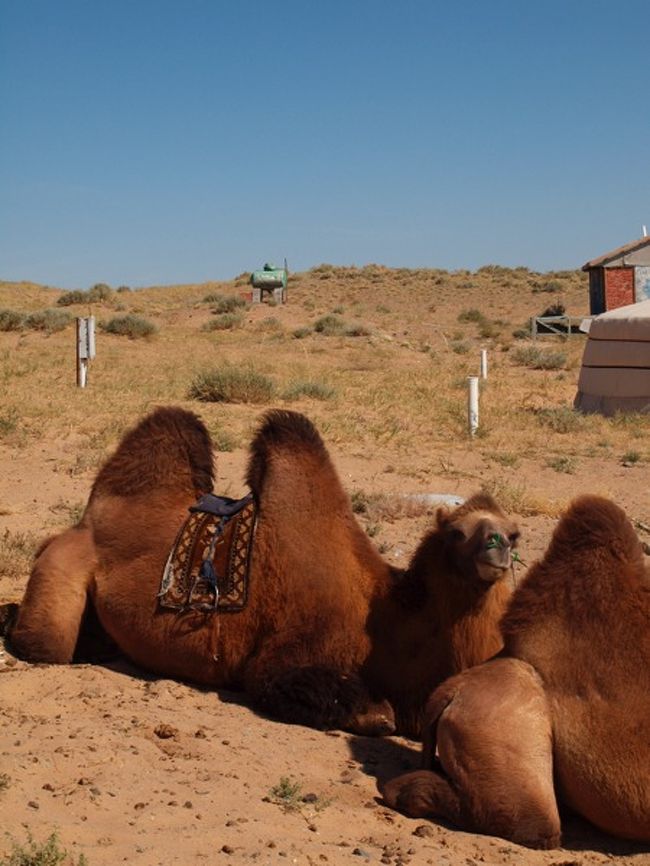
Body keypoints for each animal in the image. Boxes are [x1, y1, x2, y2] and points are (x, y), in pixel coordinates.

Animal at [7, 404, 520, 736]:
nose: (496, 548)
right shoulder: (285, 656)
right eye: (457, 532)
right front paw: (374, 712)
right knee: (43, 643)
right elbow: (366, 711)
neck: (385, 616)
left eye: (514, 534)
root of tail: (84, 521)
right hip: (61, 571)